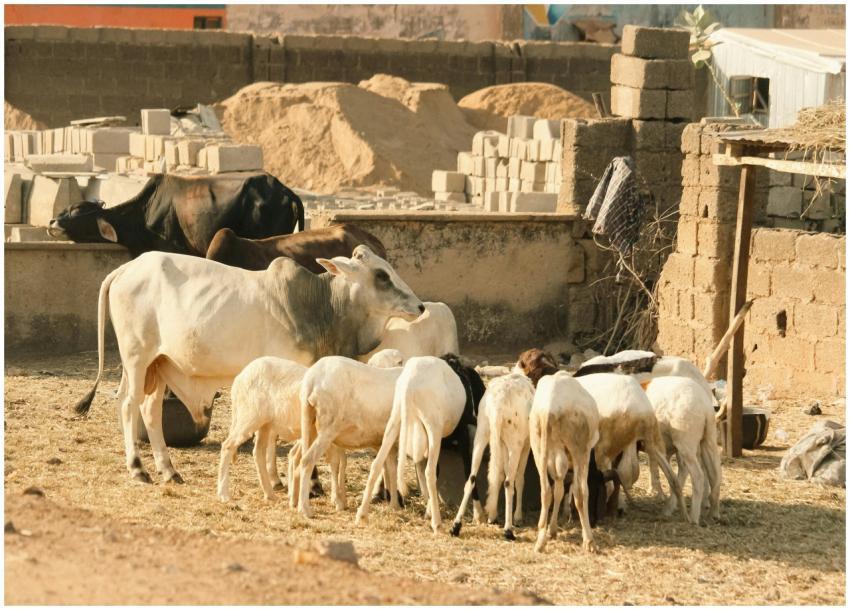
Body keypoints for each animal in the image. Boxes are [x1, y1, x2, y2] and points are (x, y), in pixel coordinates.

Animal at [73, 244, 424, 485]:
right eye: (382, 275)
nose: (420, 306)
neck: (319, 306)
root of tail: (125, 269)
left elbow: (272, 432)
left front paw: (278, 479)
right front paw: (310, 483)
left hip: (159, 365)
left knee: (150, 410)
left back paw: (169, 470)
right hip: (137, 358)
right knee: (128, 404)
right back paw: (138, 468)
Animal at [355, 355, 469, 533]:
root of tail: (410, 384)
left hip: (395, 418)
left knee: (376, 463)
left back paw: (362, 515)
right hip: (433, 426)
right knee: (430, 472)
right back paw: (437, 524)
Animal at [450, 372, 534, 540]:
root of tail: (498, 403)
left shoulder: (501, 442)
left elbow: (498, 474)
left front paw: (493, 515)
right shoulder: (525, 444)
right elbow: (518, 479)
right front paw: (517, 517)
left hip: (482, 432)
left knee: (471, 478)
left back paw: (456, 526)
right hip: (515, 442)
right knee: (509, 482)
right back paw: (508, 531)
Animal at [528, 371, 600, 553]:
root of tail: (549, 408)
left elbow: (559, 491)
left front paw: (552, 530)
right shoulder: (584, 453)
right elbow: (577, 491)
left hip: (538, 448)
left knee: (546, 491)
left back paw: (540, 541)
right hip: (579, 450)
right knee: (580, 493)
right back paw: (589, 541)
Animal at [643, 376, 722, 525]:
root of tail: (704, 405)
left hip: (686, 444)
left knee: (697, 476)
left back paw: (693, 518)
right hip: (708, 440)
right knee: (715, 476)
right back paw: (712, 514)